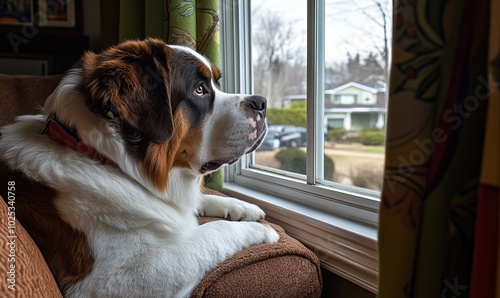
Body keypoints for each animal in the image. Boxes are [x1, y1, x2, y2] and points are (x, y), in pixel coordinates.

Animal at [0, 38, 278, 296]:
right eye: (200, 90)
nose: (262, 102)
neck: (104, 158)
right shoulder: (108, 282)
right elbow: (211, 233)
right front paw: (261, 230)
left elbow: (199, 201)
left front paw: (244, 207)